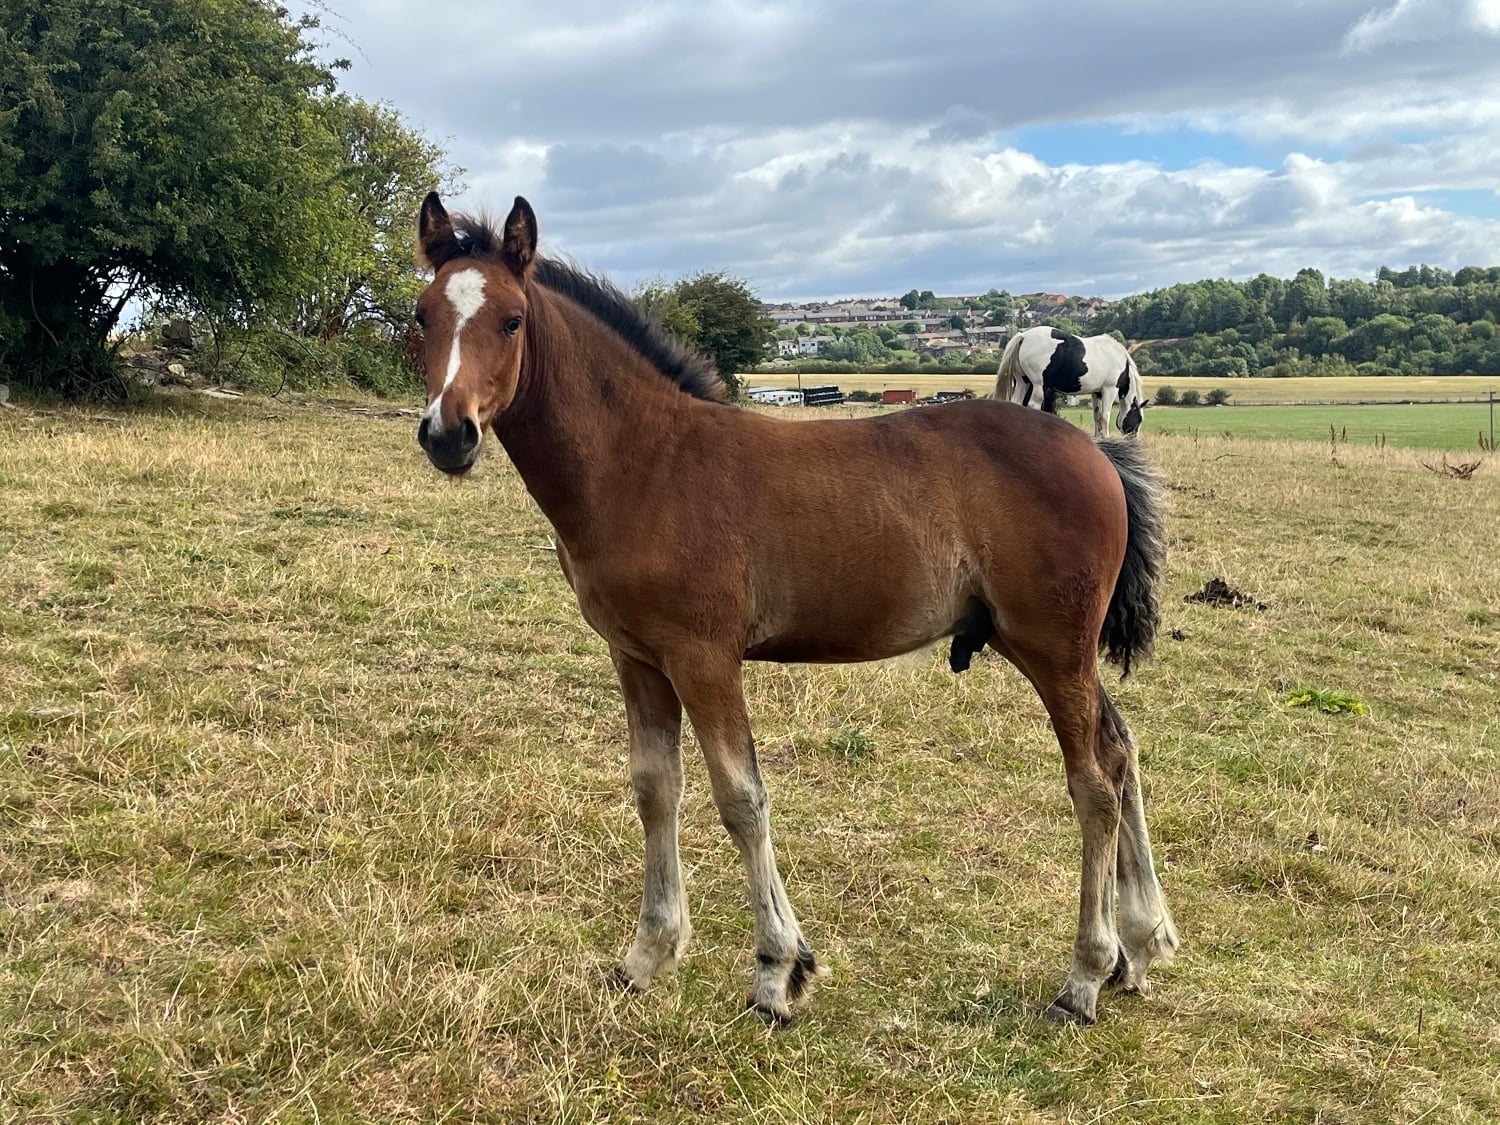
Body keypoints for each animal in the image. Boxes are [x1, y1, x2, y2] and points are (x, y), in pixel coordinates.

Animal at [995, 326, 1150, 437]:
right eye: (1139, 418)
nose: (1133, 438)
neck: (1119, 360)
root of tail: (1023, 336)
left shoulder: (1097, 392)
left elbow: (1097, 415)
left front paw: (1098, 438)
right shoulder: (1110, 389)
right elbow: (1105, 416)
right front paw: (1106, 437)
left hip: (1023, 382)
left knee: (1015, 403)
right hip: (1038, 385)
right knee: (1033, 405)